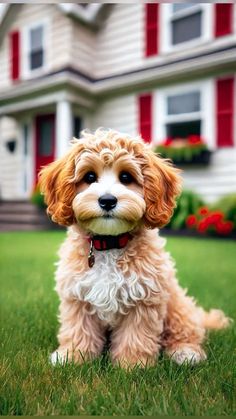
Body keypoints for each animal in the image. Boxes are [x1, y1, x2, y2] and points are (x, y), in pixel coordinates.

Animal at [39, 130, 230, 370]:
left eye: (126, 178)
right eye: (90, 177)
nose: (107, 200)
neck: (109, 243)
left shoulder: (144, 297)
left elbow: (135, 335)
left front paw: (132, 365)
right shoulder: (77, 296)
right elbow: (78, 329)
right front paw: (73, 357)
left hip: (177, 305)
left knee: (187, 331)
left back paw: (185, 352)